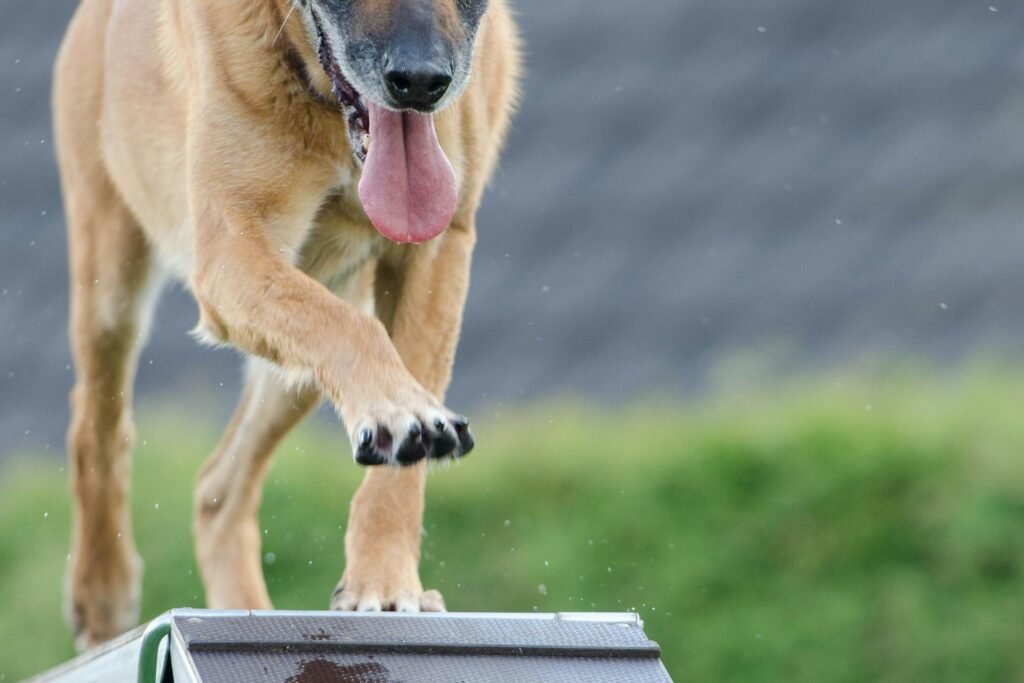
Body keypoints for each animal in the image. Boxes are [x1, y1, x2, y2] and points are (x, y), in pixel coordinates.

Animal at [54, 0, 520, 651]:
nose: (422, 84)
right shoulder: (232, 254)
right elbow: (358, 338)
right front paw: (402, 413)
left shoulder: (437, 252)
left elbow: (407, 413)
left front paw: (382, 580)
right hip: (111, 284)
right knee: (96, 427)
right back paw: (103, 591)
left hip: (299, 364)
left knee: (218, 489)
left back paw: (243, 611)